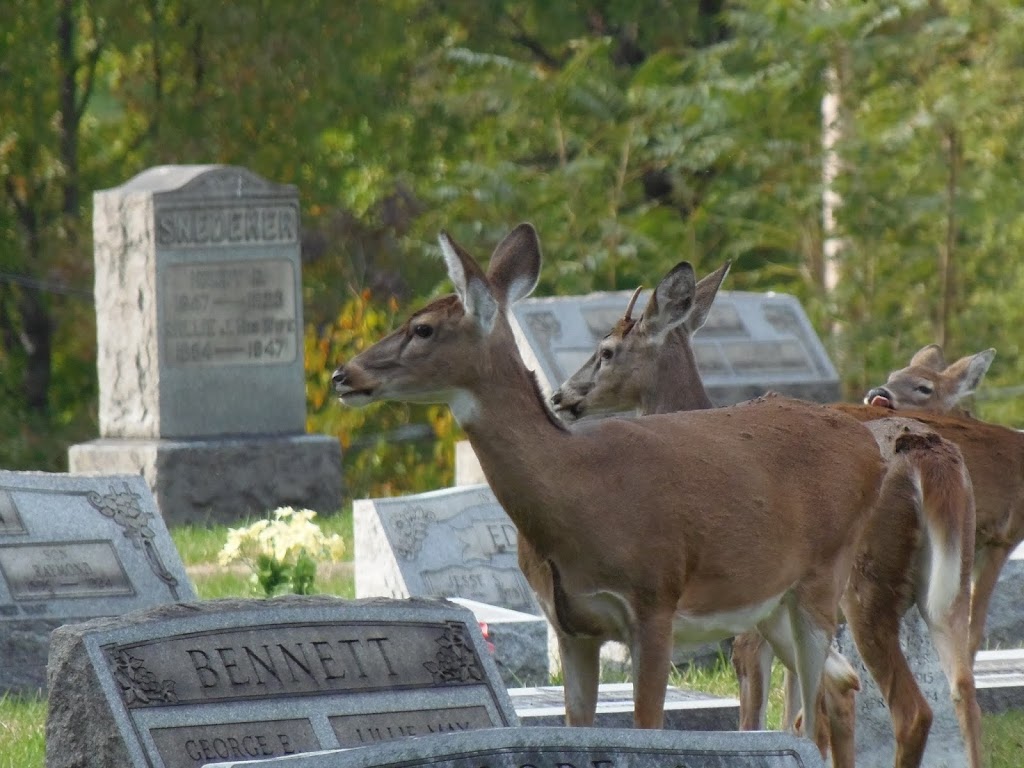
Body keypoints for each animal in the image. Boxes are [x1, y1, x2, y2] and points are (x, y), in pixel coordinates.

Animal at [333, 222, 888, 765]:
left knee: (813, 713)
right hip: (772, 602)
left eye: (423, 328)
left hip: (823, 578)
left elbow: (649, 728)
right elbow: (579, 728)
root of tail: (868, 445)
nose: (343, 374)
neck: (581, 489)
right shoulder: (570, 627)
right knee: (842, 683)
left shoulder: (655, 601)